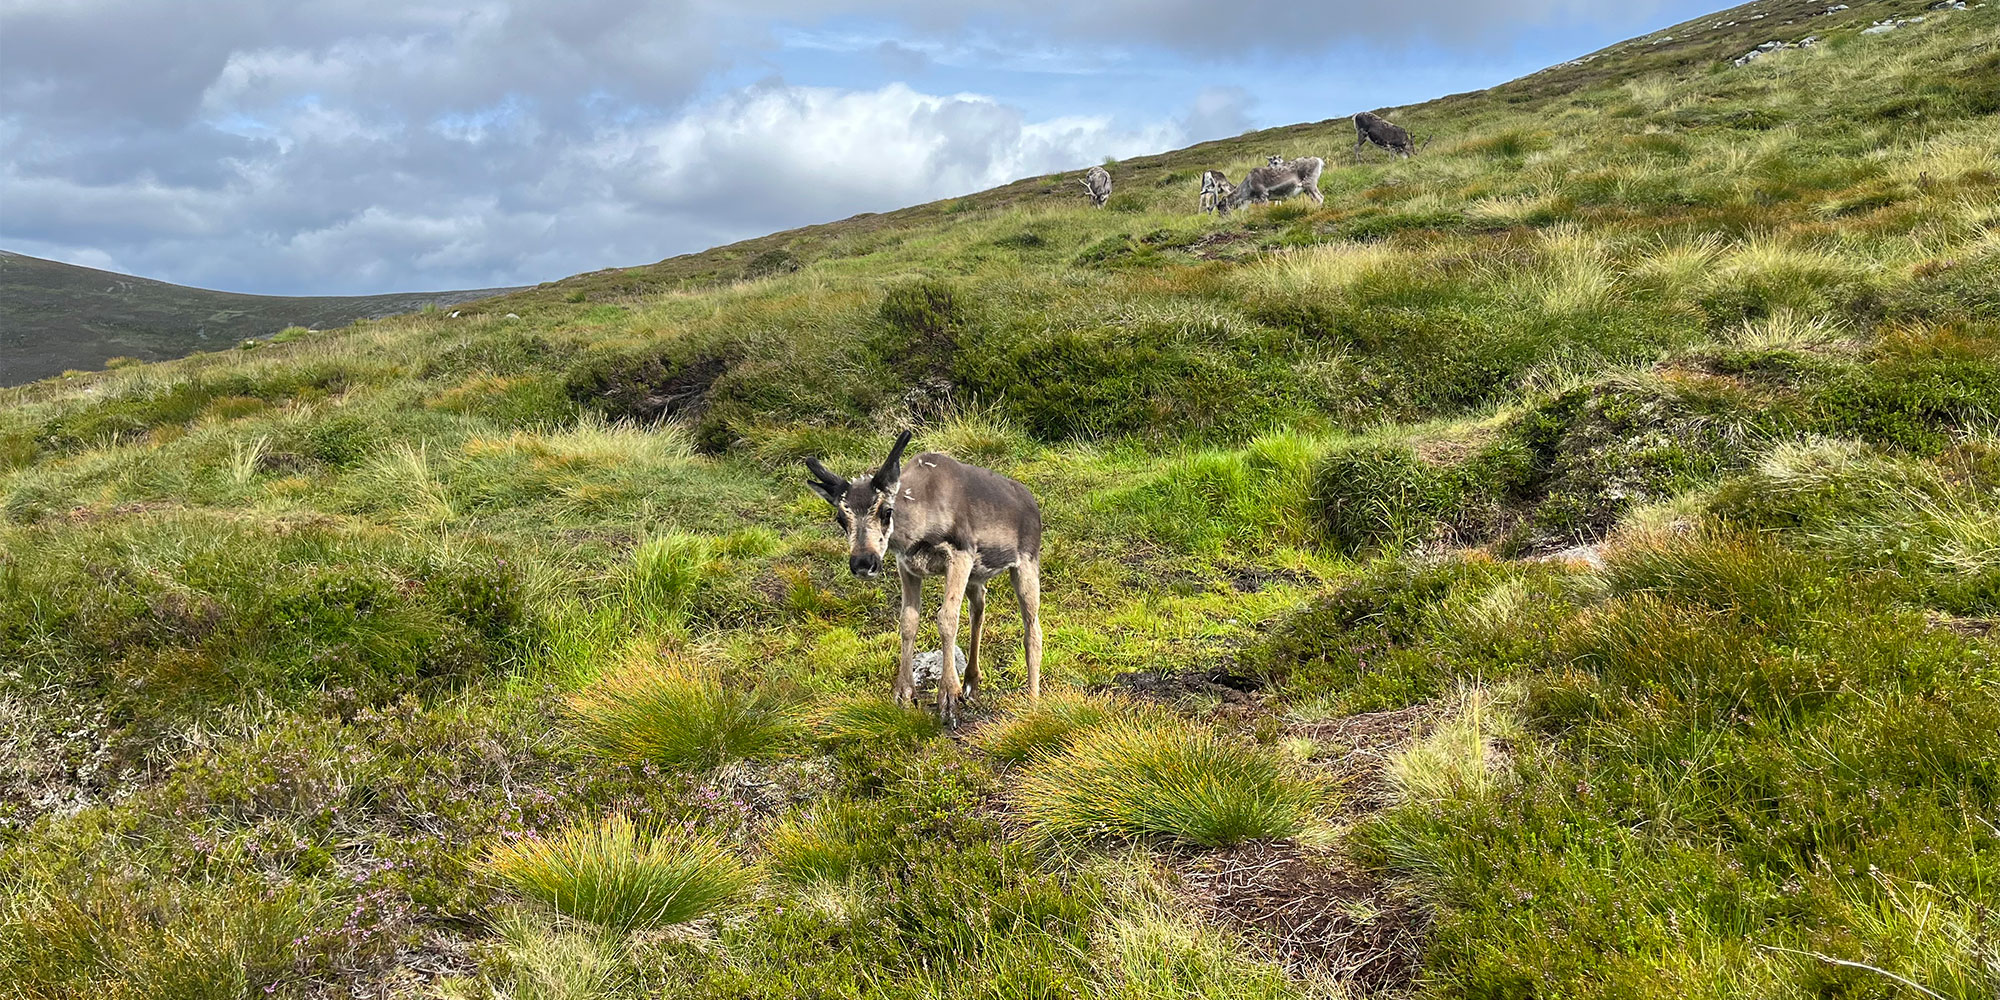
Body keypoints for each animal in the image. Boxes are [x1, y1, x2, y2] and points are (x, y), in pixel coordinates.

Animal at [804, 431, 1044, 722]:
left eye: (886, 511)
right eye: (841, 519)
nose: (863, 563)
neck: (916, 532)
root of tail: (1033, 503)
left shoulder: (960, 553)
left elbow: (946, 618)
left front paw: (948, 697)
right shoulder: (906, 565)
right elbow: (908, 621)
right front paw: (904, 692)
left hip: (1026, 563)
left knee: (1032, 628)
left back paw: (1032, 702)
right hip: (977, 576)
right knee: (978, 609)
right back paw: (972, 681)